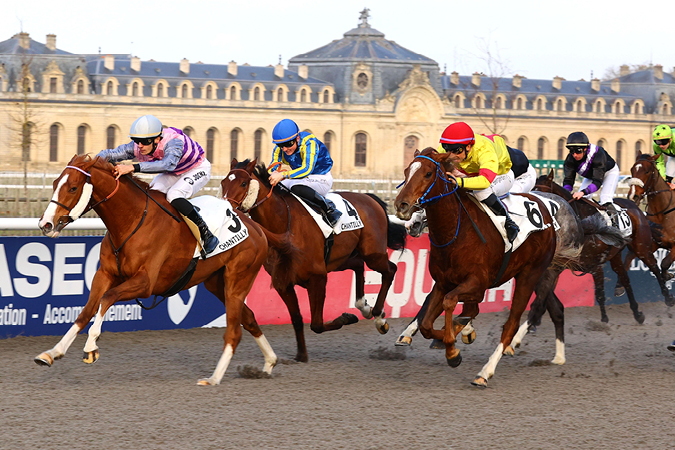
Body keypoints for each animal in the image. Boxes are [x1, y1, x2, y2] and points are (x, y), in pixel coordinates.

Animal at [36, 155, 277, 385]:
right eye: (55, 183)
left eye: (73, 187)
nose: (46, 224)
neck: (131, 220)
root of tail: (257, 228)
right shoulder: (104, 274)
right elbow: (86, 311)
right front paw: (52, 352)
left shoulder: (145, 283)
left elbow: (107, 298)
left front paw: (91, 346)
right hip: (216, 283)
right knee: (249, 318)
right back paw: (269, 363)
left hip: (237, 280)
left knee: (234, 332)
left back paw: (213, 378)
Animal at [220, 158, 407, 363]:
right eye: (223, 182)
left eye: (243, 183)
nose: (225, 210)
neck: (284, 227)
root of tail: (371, 199)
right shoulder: (283, 282)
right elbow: (297, 318)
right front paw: (301, 354)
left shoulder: (317, 278)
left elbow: (316, 324)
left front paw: (347, 318)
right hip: (340, 260)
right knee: (359, 265)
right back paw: (363, 306)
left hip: (373, 254)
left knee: (390, 269)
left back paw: (379, 318)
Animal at [394, 147, 562, 387]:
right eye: (407, 171)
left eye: (427, 174)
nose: (402, 205)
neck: (455, 232)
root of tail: (546, 211)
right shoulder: (444, 283)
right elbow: (427, 323)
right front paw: (452, 340)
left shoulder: (477, 283)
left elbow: (450, 303)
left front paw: (452, 350)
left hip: (530, 275)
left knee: (511, 324)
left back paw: (485, 372)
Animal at [535, 170, 674, 321]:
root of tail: (634, 206)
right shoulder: (560, 265)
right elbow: (545, 292)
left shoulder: (596, 266)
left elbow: (600, 294)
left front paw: (604, 321)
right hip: (616, 255)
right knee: (625, 278)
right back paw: (636, 312)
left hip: (642, 247)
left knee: (654, 267)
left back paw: (668, 297)